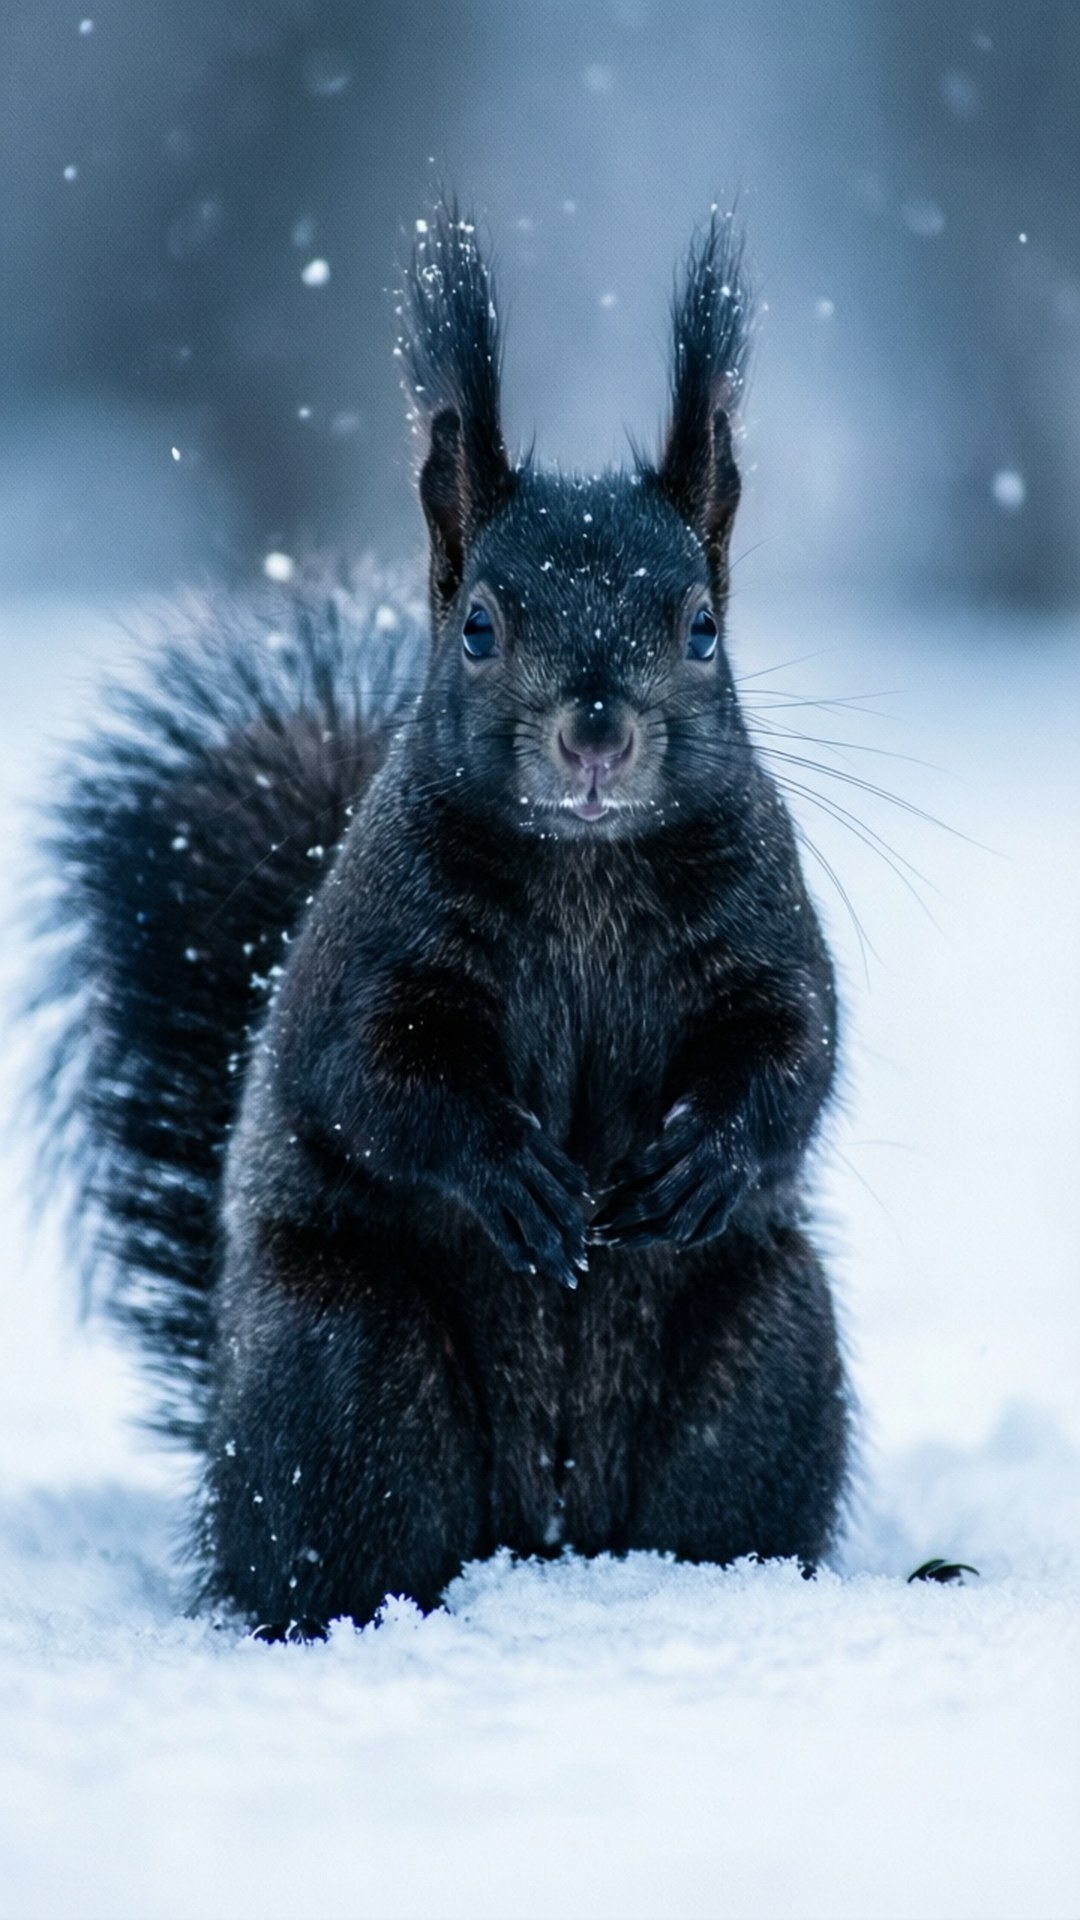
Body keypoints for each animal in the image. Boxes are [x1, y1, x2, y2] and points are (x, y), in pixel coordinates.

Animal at [41, 206, 850, 1635]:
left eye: (702, 626)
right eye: (478, 624)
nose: (597, 733)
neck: (585, 874)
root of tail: (551, 1535)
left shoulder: (765, 929)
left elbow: (794, 1045)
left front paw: (700, 1155)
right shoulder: (368, 952)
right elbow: (373, 1075)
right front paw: (511, 1170)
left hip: (768, 1353)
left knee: (725, 1504)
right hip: (349, 1360)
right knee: (326, 1548)